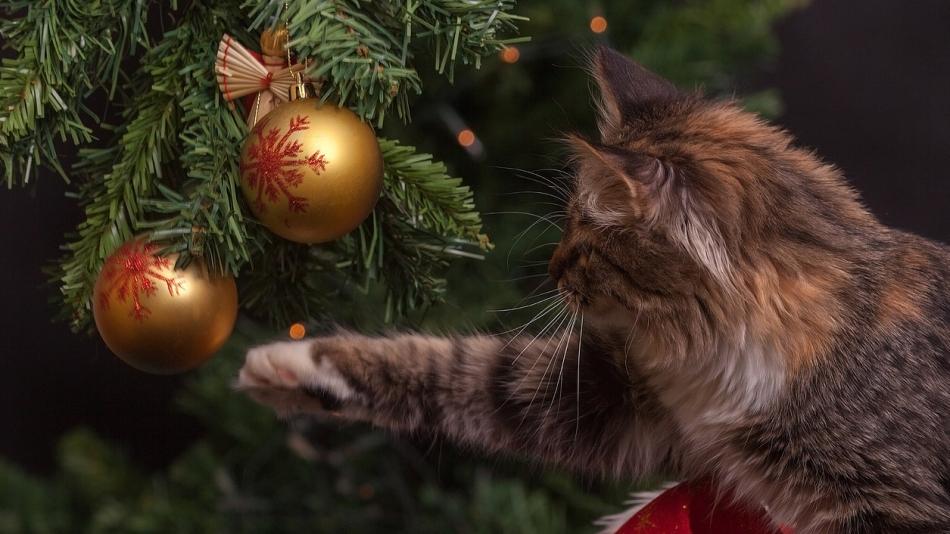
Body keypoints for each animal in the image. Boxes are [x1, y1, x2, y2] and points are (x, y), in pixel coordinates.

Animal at [238, 48, 950, 532]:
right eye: (567, 223)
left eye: (586, 238)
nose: (552, 270)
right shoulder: (618, 398)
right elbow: (455, 368)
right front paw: (293, 363)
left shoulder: (897, 503)